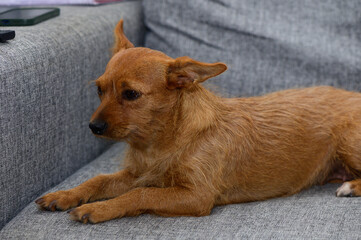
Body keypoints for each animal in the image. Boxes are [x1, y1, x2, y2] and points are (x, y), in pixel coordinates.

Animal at [35, 20, 360, 223]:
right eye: (99, 90)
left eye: (131, 94)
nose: (94, 127)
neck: (160, 142)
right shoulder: (136, 173)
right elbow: (99, 179)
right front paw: (66, 195)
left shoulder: (196, 196)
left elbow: (140, 194)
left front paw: (99, 209)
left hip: (348, 143)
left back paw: (350, 187)